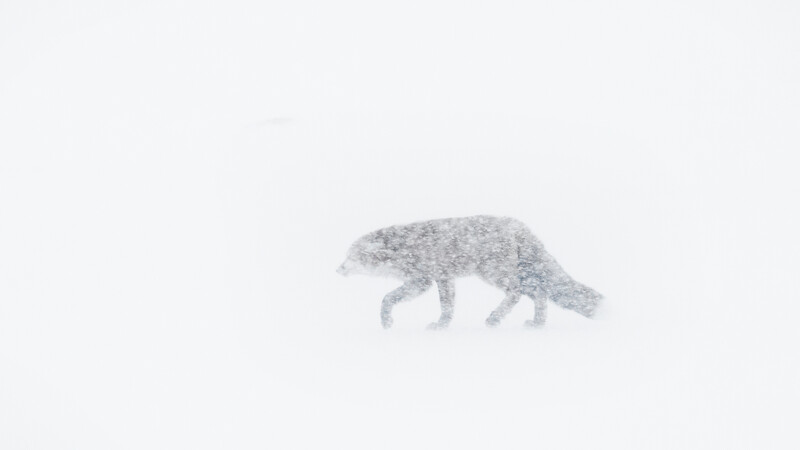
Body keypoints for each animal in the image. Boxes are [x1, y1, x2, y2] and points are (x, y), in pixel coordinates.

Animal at [337, 215, 603, 329]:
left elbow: (387, 298)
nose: (337, 268)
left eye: (350, 258)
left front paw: (386, 321)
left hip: (493, 272)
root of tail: (518, 225)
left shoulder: (422, 280)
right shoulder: (442, 277)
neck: (403, 248)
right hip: (513, 274)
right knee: (539, 293)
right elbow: (447, 306)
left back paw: (495, 318)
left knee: (516, 293)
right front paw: (443, 324)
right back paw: (538, 323)